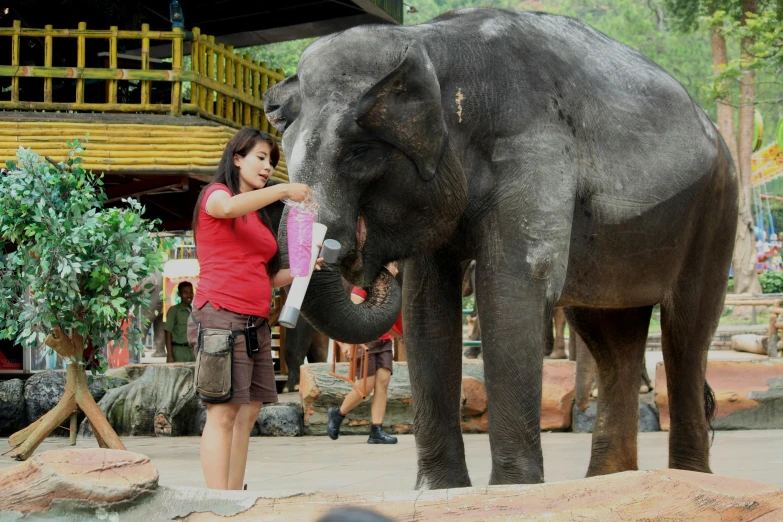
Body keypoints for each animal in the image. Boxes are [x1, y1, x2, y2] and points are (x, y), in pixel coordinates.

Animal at [266, 8, 740, 488]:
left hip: (717, 209)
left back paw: (689, 479)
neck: (428, 45)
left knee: (685, 335)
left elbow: (510, 289)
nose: (364, 268)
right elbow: (425, 306)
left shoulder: (532, 147)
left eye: (359, 153)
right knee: (611, 338)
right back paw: (609, 483)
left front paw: (513, 489)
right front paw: (440, 491)